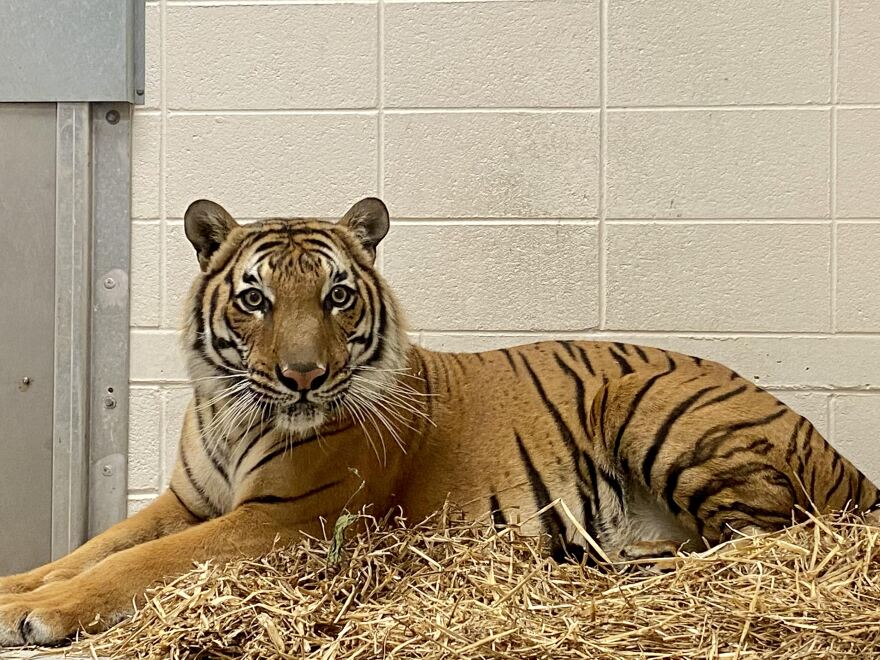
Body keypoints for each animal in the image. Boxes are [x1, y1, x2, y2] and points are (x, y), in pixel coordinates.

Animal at [1, 195, 880, 644]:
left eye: (337, 296)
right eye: (255, 299)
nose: (303, 376)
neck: (232, 409)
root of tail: (832, 446)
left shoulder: (283, 520)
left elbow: (136, 565)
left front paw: (37, 613)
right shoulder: (188, 501)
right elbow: (93, 547)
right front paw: (17, 587)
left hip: (651, 409)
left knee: (747, 543)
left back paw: (596, 560)